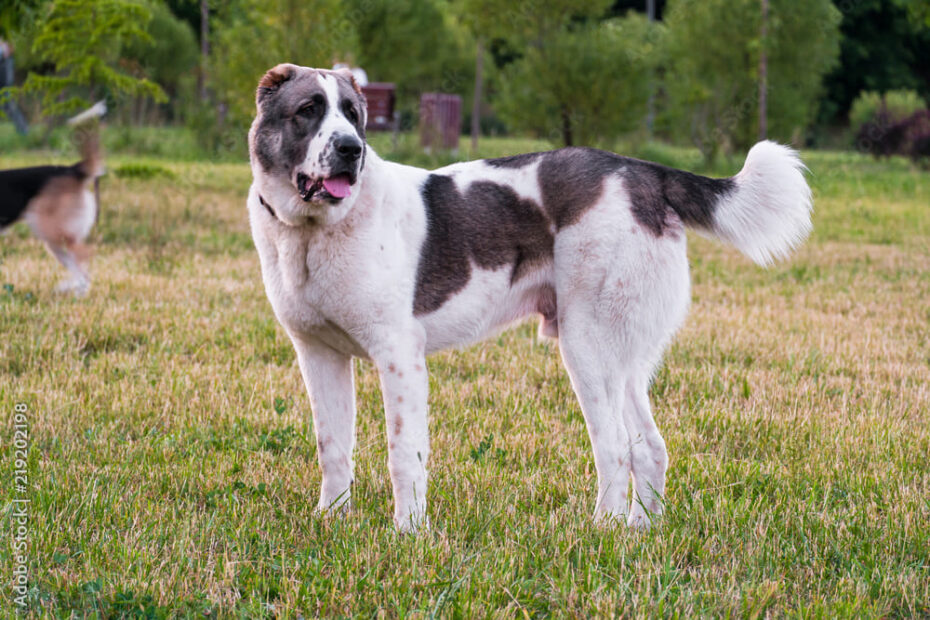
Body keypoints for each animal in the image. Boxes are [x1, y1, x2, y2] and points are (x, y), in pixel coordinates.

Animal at [0, 101, 105, 296]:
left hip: (52, 231)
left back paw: (71, 288)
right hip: (53, 241)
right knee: (78, 266)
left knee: (86, 256)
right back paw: (74, 291)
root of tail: (73, 170)